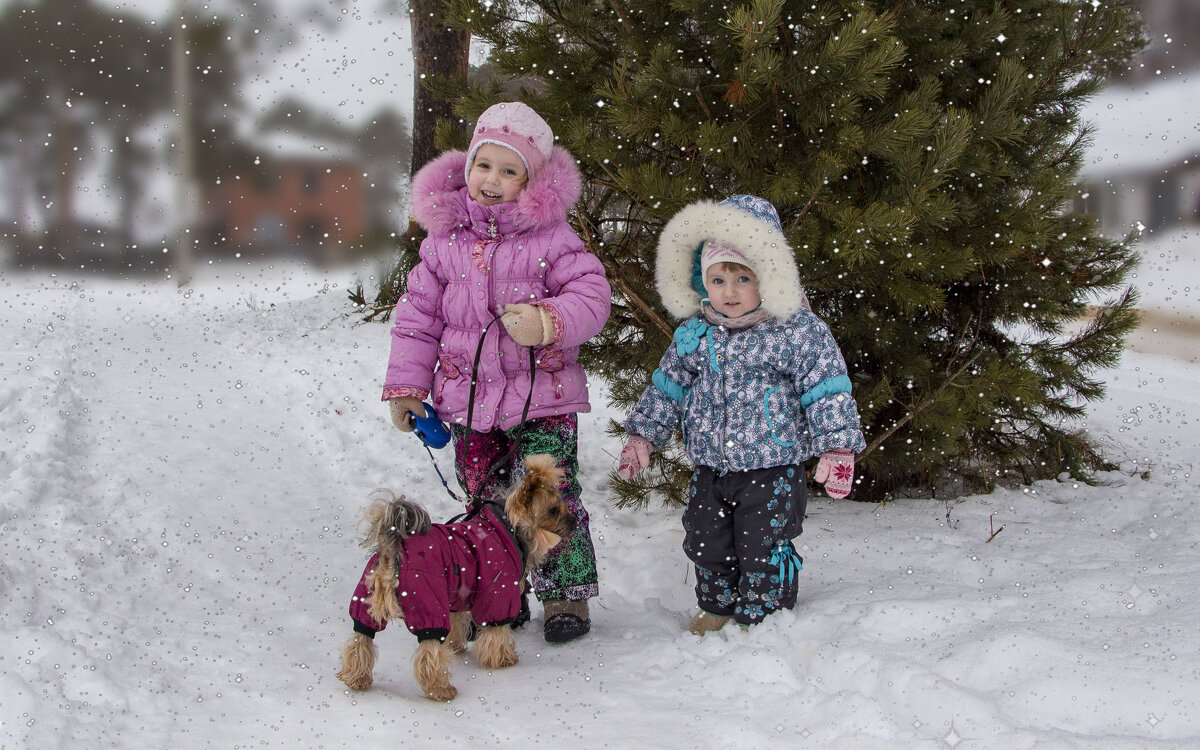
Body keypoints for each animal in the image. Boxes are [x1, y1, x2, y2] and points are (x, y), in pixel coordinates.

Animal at [338, 451, 576, 700]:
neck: (508, 526)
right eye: (552, 510)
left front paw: (456, 647)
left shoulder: (457, 596)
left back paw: (356, 678)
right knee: (428, 651)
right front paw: (502, 659)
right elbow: (496, 631)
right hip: (427, 603)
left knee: (360, 639)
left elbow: (456, 624)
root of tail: (393, 549)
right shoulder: (497, 594)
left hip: (366, 602)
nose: (575, 521)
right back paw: (440, 689)